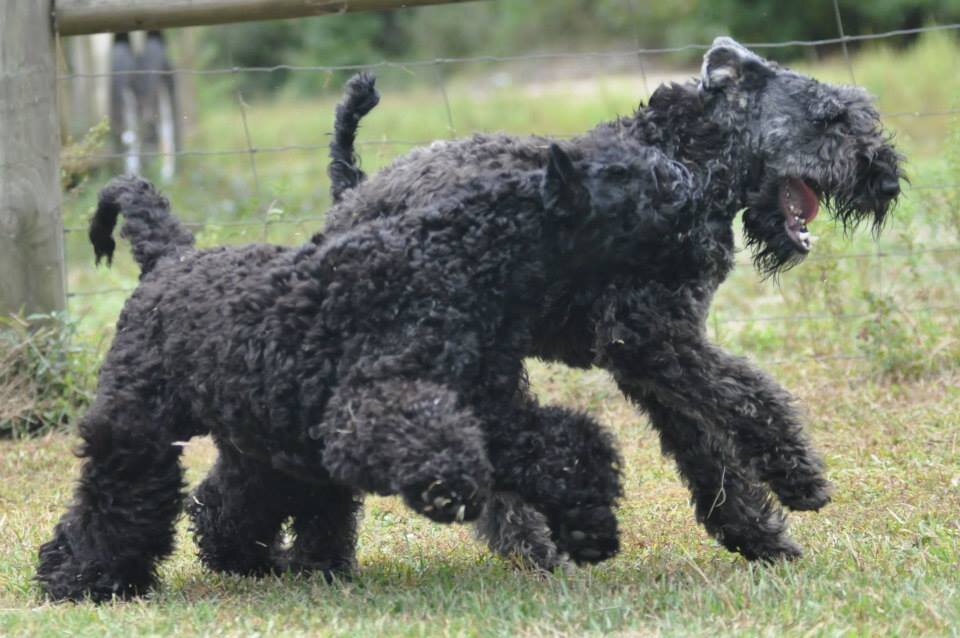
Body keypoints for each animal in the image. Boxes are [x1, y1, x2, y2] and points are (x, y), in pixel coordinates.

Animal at [318, 38, 904, 568]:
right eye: (830, 119)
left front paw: (757, 535)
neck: (687, 162)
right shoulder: (649, 339)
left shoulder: (661, 358)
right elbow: (749, 395)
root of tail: (353, 192)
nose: (887, 178)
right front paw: (797, 474)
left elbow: (708, 449)